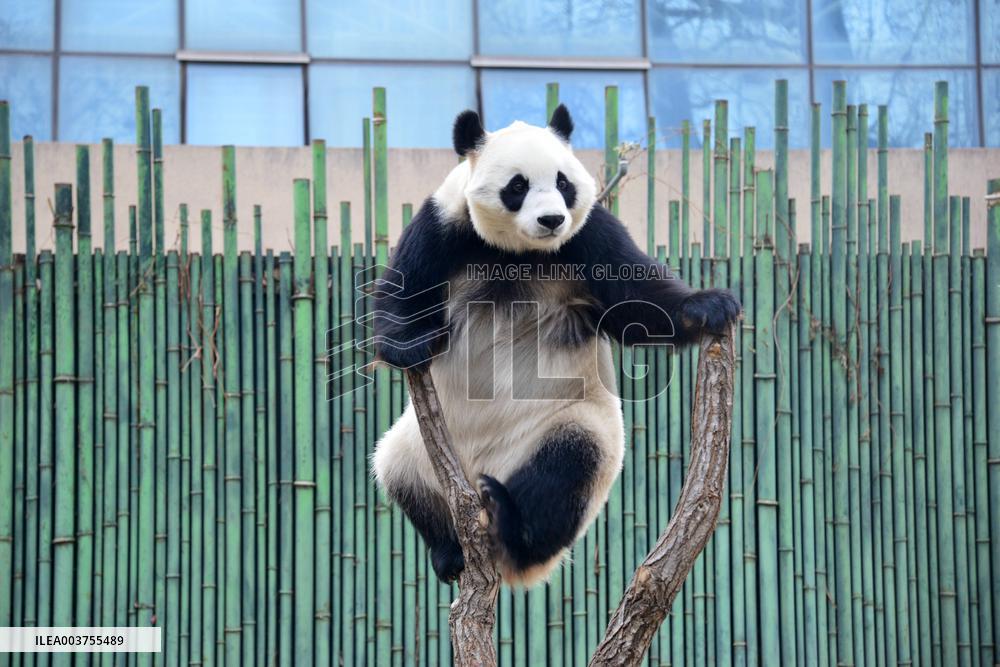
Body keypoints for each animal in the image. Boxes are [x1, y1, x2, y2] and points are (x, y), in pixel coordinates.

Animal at [371, 104, 740, 586]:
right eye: (518, 185)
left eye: (564, 183)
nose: (552, 220)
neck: (517, 252)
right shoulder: (443, 225)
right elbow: (404, 289)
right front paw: (410, 346)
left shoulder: (589, 236)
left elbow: (637, 301)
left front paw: (711, 305)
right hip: (414, 446)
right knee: (400, 477)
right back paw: (448, 551)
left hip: (565, 422)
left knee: (566, 469)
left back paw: (510, 524)